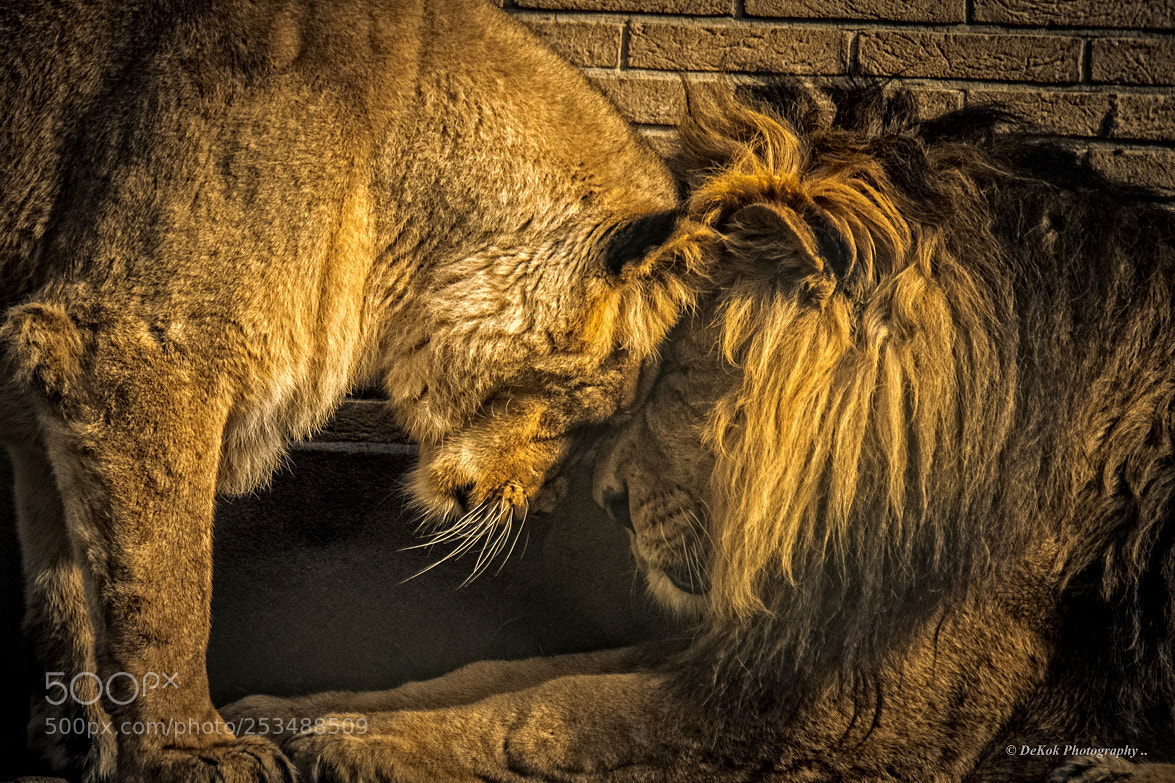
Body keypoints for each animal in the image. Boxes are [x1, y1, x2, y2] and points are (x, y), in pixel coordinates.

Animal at [0, 2, 704, 781]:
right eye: (590, 416)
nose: (545, 505)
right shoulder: (138, 344)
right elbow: (168, 589)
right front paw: (193, 750)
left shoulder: (47, 378)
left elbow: (64, 577)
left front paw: (76, 737)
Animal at [220, 81, 1175, 783]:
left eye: (675, 374)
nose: (606, 501)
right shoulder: (767, 630)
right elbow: (505, 671)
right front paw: (291, 715)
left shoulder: (870, 712)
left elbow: (553, 710)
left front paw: (355, 744)